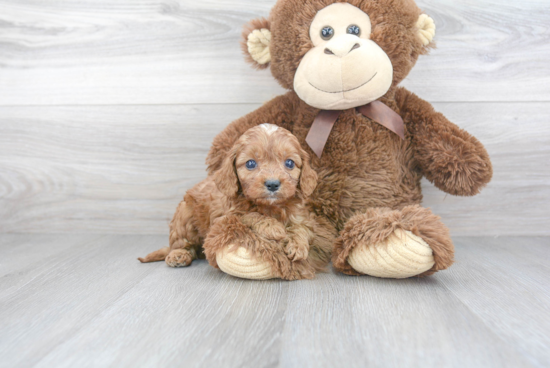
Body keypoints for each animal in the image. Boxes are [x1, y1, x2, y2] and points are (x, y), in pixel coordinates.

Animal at [140, 125, 328, 280]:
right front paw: (273, 227)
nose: (273, 184)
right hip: (184, 215)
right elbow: (250, 215)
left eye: (289, 163)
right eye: (251, 163)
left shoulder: (302, 215)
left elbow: (302, 228)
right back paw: (178, 255)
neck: (270, 206)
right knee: (182, 244)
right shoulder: (226, 215)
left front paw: (298, 245)